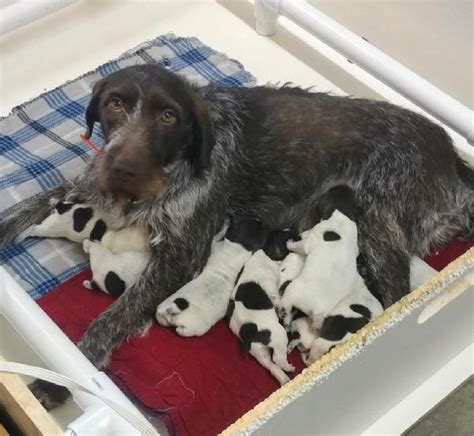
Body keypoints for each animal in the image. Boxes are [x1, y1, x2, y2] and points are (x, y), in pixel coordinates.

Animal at [228, 249, 294, 384]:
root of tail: (249, 333)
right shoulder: (270, 284)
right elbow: (275, 297)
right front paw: (280, 309)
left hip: (258, 351)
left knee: (270, 364)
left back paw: (283, 378)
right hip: (279, 336)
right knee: (278, 358)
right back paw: (288, 367)